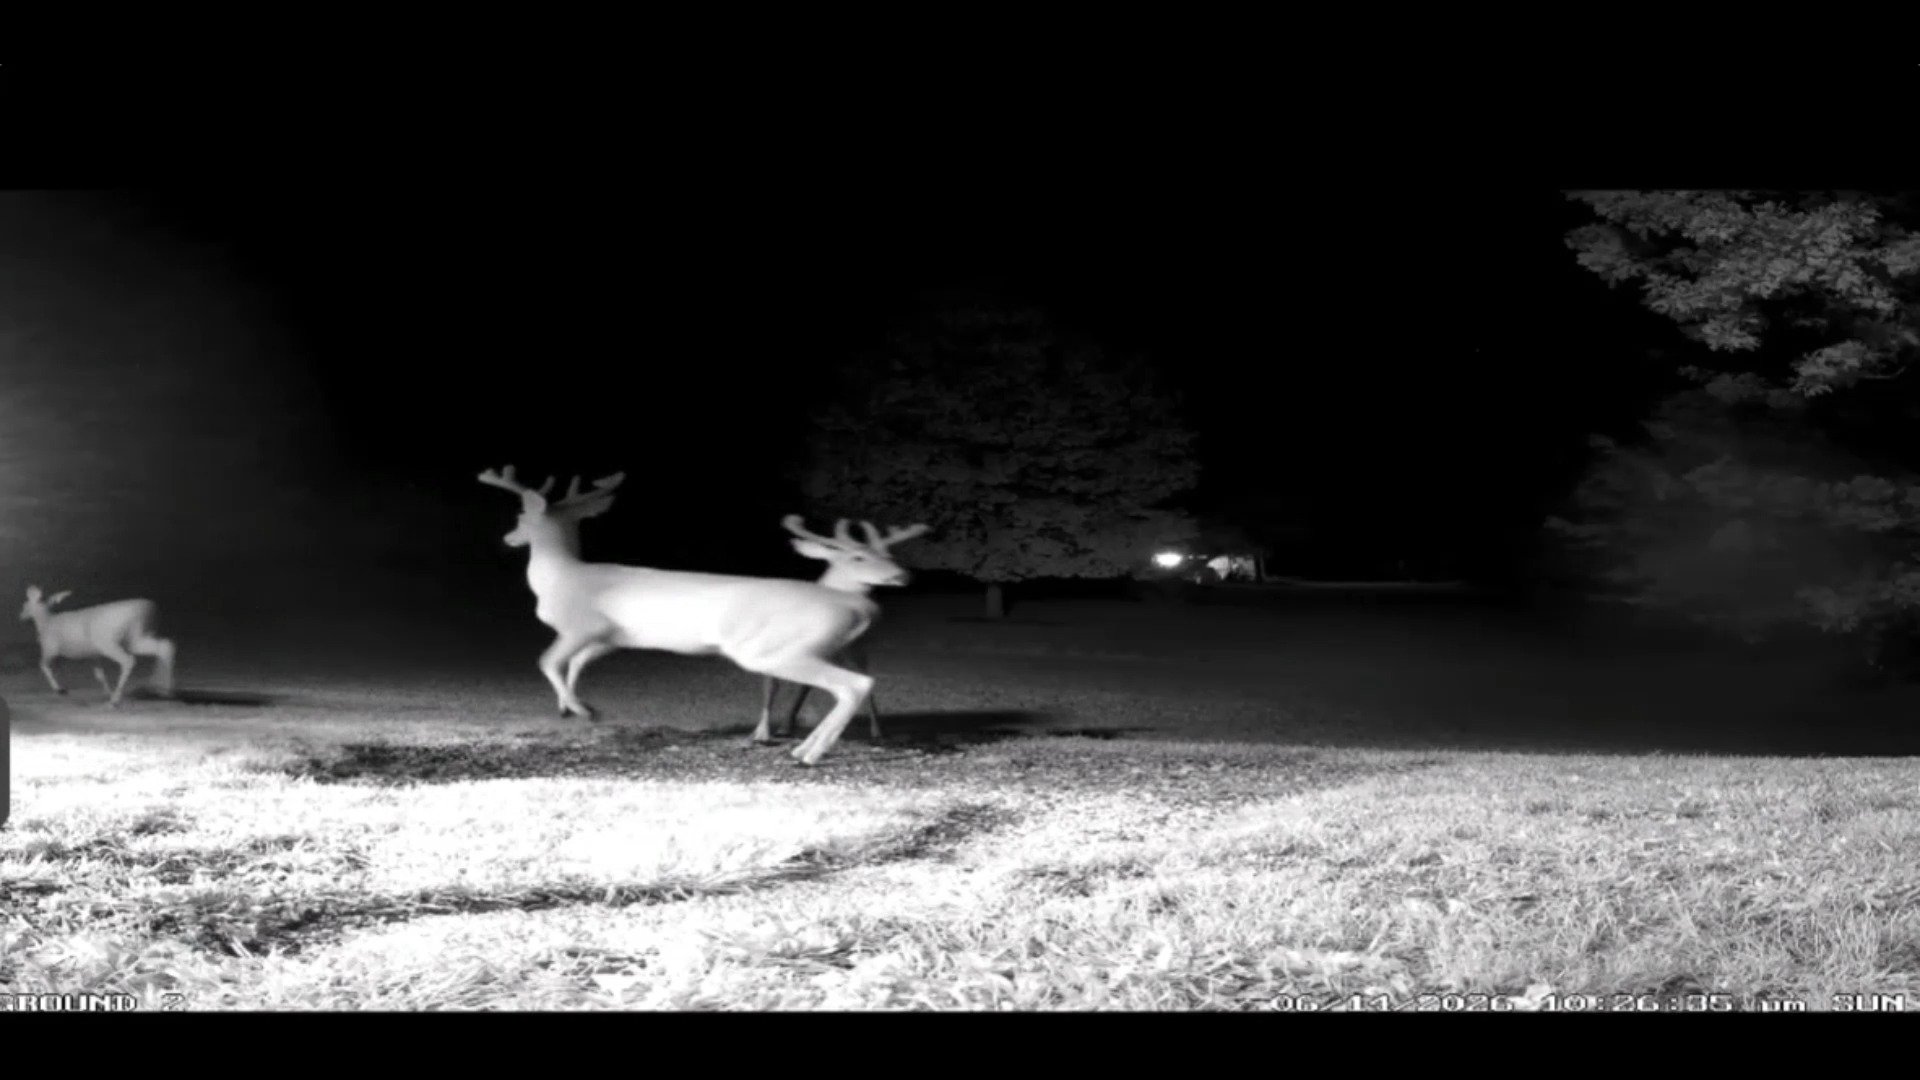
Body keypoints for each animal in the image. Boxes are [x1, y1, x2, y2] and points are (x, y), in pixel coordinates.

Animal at [19, 585, 176, 707]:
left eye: (25, 604)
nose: (20, 616)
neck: (45, 622)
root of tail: (149, 609)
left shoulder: (50, 648)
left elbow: (43, 666)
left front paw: (60, 690)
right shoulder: (93, 654)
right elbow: (99, 674)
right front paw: (107, 692)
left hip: (108, 642)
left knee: (128, 660)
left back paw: (115, 700)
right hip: (137, 638)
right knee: (165, 646)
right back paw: (162, 689)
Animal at [754, 515, 929, 745]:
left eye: (889, 556)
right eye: (858, 557)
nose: (903, 575)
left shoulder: (854, 649)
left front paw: (877, 730)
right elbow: (771, 685)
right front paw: (761, 733)